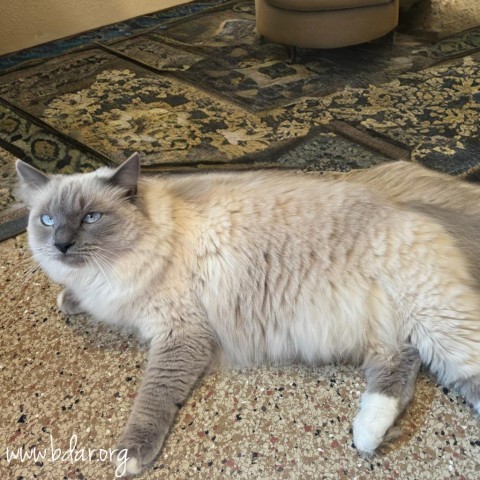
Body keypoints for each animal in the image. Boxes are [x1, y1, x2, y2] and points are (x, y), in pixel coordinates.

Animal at [14, 155, 480, 476]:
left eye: (91, 217)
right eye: (47, 220)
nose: (61, 245)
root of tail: (414, 206)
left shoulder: (180, 335)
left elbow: (152, 398)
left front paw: (130, 455)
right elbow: (81, 298)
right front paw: (69, 299)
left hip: (439, 325)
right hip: (387, 330)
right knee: (400, 366)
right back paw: (366, 435)